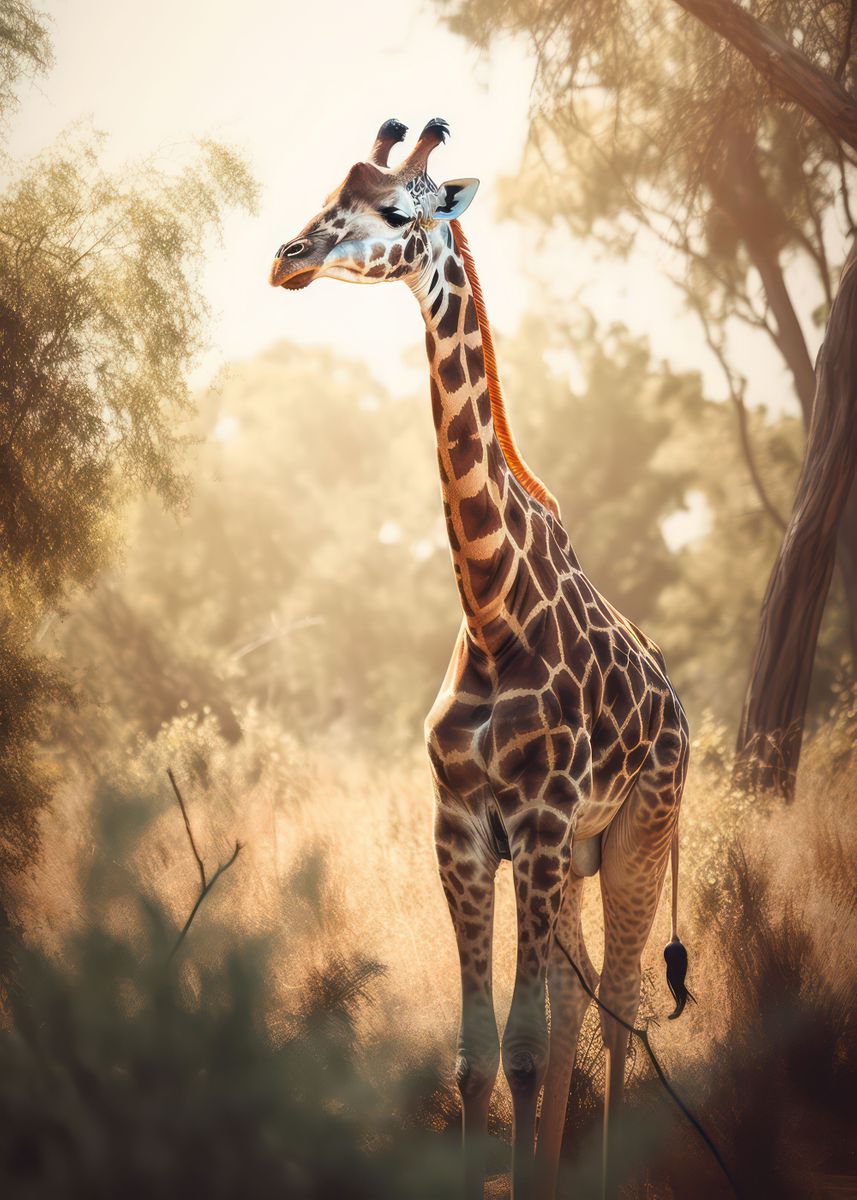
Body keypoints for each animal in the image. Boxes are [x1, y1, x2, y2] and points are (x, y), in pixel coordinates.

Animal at [268, 118, 692, 1200]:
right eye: (329, 187)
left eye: (394, 210)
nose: (287, 258)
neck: (493, 609)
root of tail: (679, 706)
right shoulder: (459, 831)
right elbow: (474, 1057)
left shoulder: (534, 827)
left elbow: (524, 1047)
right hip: (577, 856)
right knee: (584, 1002)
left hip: (634, 834)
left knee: (619, 1002)